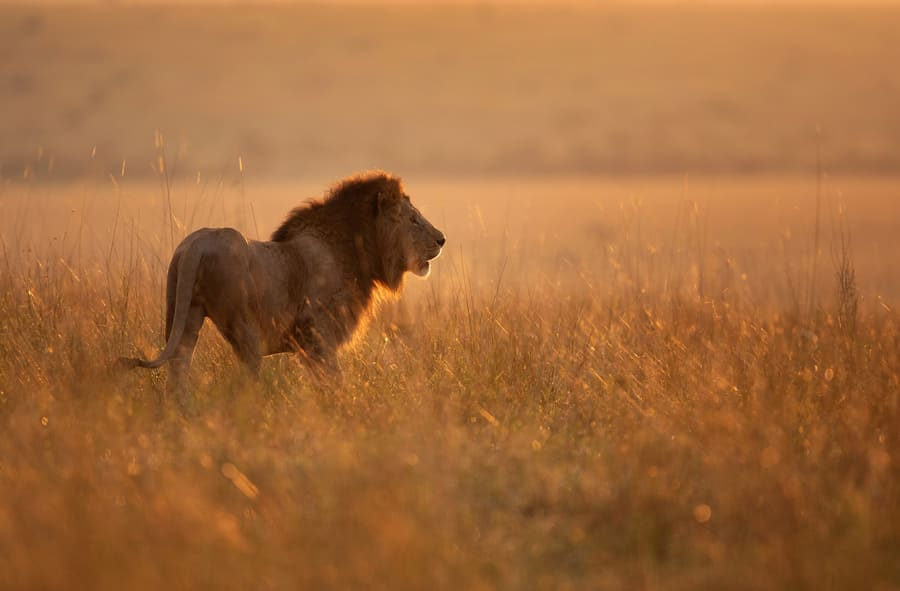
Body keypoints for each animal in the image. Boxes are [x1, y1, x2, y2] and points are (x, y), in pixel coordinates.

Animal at [119, 171, 445, 405]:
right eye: (413, 219)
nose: (442, 239)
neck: (358, 250)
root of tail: (195, 245)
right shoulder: (317, 332)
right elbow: (333, 378)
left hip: (183, 311)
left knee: (179, 363)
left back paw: (183, 408)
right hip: (244, 326)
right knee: (245, 375)